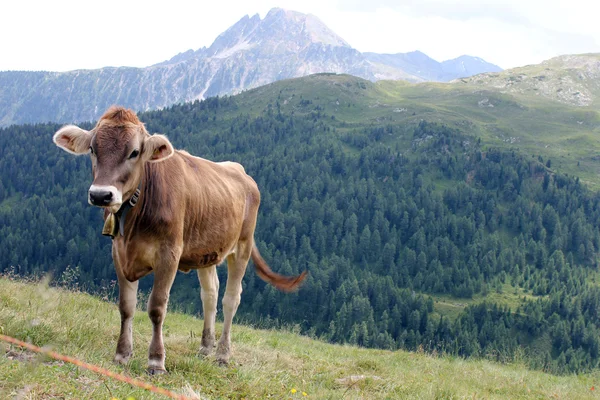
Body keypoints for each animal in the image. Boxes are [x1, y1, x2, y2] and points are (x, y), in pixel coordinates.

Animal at [52, 107, 308, 376]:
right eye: (93, 149)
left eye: (134, 152)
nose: (101, 195)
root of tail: (242, 172)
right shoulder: (118, 252)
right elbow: (126, 306)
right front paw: (122, 354)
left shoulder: (169, 254)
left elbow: (156, 307)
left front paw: (156, 360)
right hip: (207, 250)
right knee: (210, 294)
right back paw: (205, 347)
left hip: (242, 246)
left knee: (231, 298)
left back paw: (222, 354)